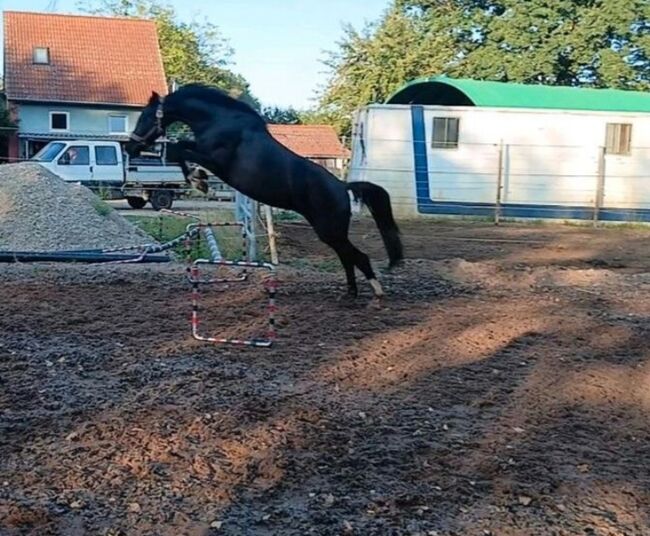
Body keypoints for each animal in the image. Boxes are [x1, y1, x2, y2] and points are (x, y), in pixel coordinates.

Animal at [125, 85, 403, 299]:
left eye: (145, 117)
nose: (130, 147)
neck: (220, 121)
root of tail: (343, 187)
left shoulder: (216, 161)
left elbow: (178, 149)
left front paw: (198, 180)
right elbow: (180, 148)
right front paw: (198, 179)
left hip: (329, 230)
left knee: (358, 256)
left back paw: (375, 292)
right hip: (331, 232)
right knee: (348, 257)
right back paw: (350, 293)